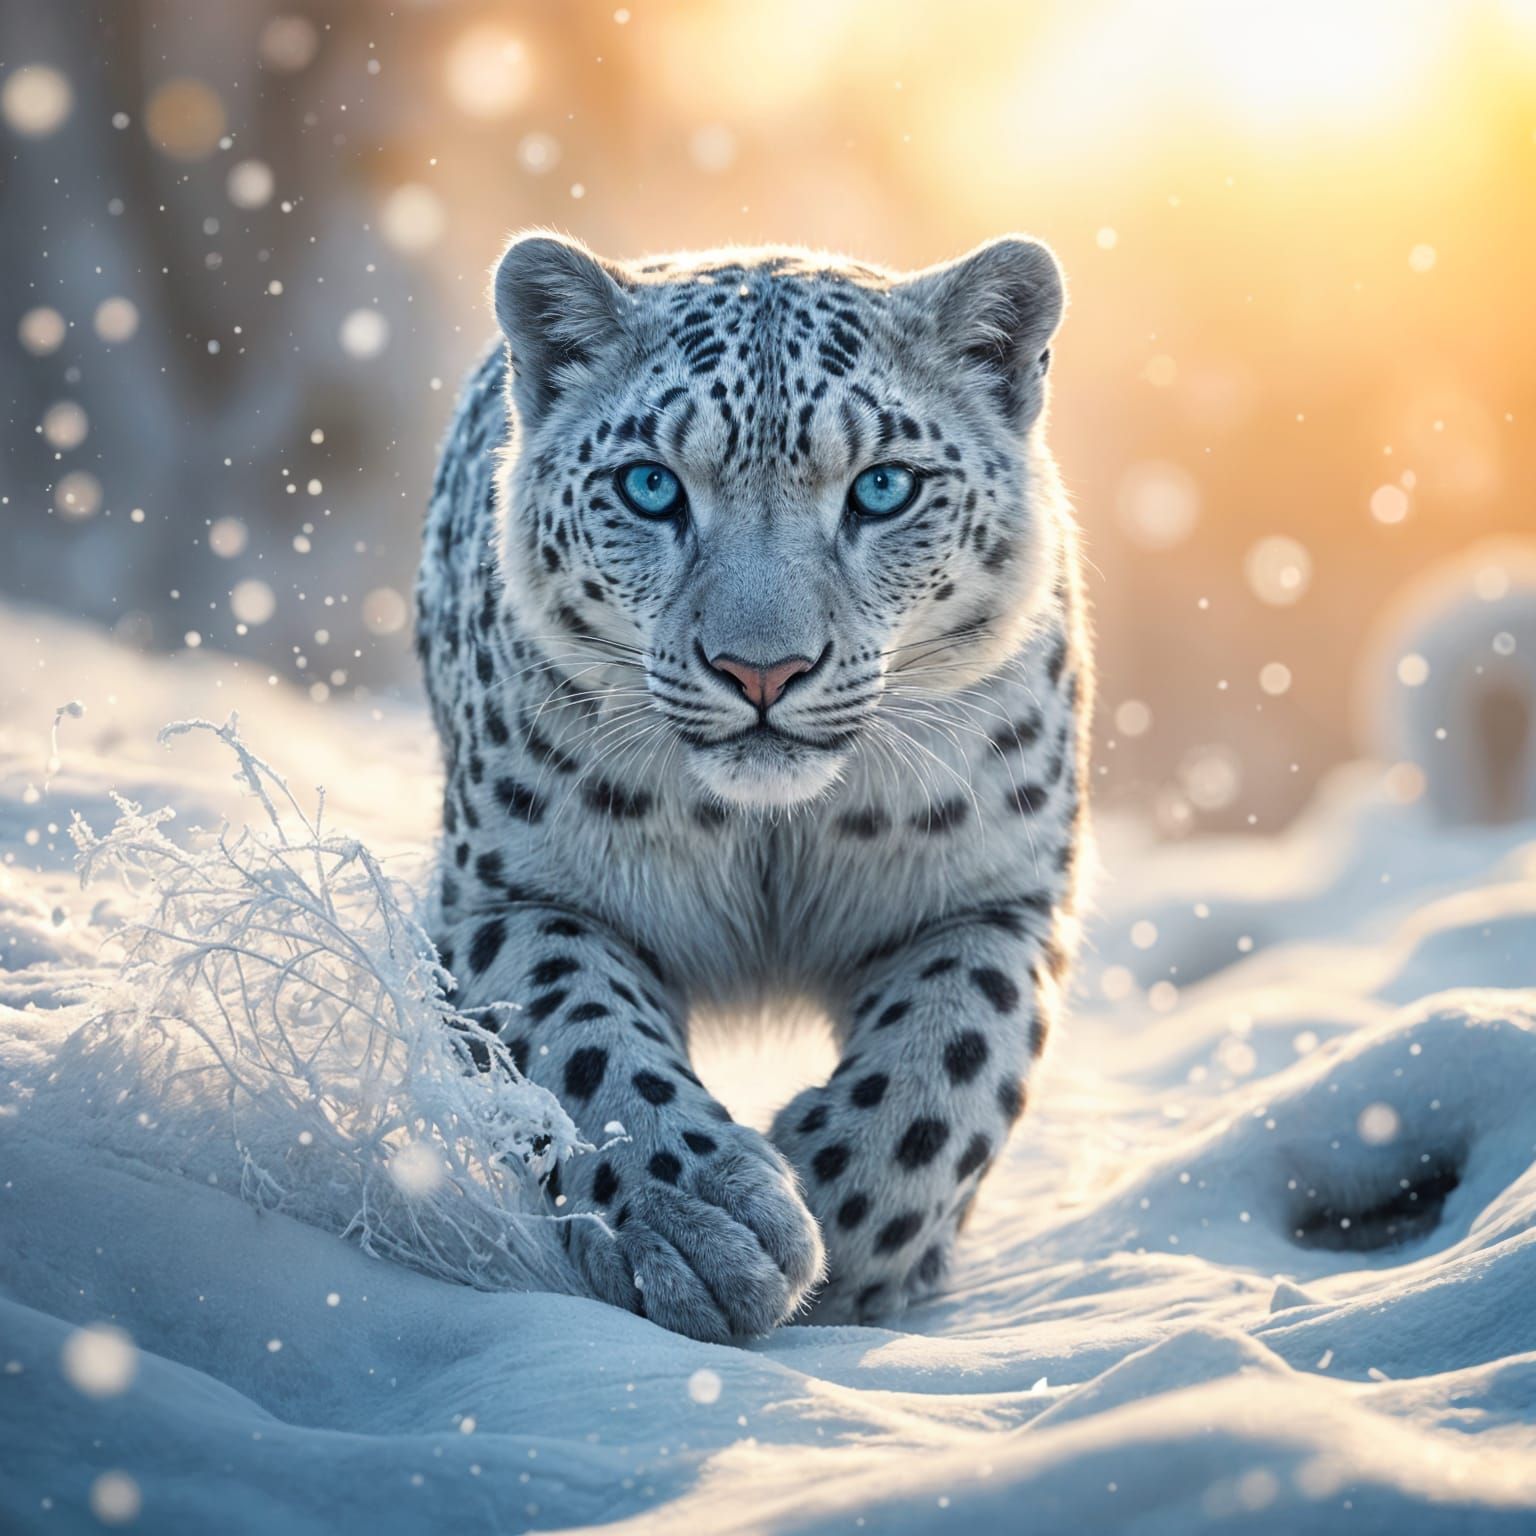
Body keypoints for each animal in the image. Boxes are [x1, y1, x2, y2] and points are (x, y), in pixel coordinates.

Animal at [415, 230, 1090, 1342]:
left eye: (882, 488)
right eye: (650, 487)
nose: (762, 670)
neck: (773, 842)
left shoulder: (995, 896)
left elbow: (949, 1061)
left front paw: (839, 1230)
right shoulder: (511, 894)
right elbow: (583, 1038)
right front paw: (697, 1224)